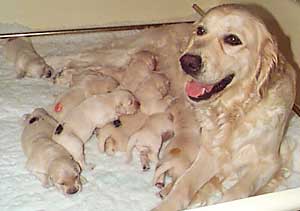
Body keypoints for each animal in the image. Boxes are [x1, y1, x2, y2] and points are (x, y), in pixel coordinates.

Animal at [154, 3, 296, 211]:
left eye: (233, 39)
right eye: (201, 31)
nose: (187, 62)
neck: (234, 112)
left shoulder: (270, 161)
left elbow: (237, 193)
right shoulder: (209, 151)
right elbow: (185, 183)